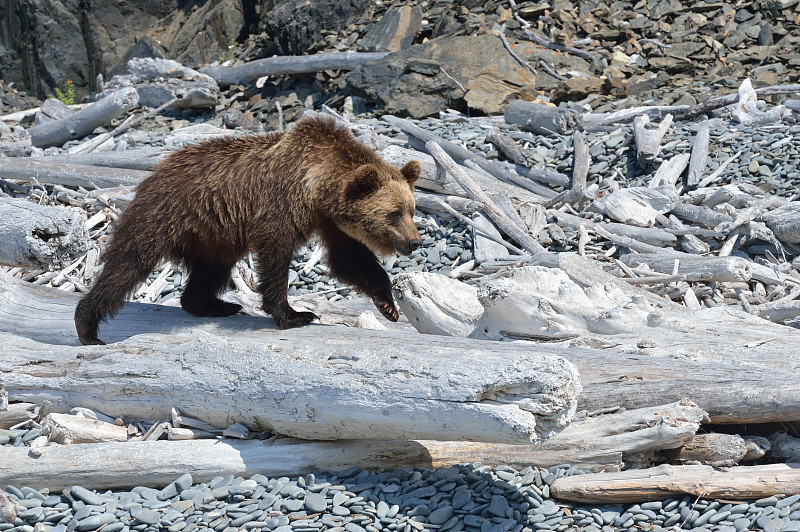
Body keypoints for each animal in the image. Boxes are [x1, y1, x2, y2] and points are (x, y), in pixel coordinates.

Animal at [74, 113, 422, 344]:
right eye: (394, 213)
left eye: (411, 210)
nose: (415, 242)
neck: (316, 186)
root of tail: (155, 171)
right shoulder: (281, 203)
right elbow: (276, 253)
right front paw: (295, 314)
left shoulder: (330, 220)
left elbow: (348, 259)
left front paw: (388, 305)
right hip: (164, 215)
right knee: (128, 263)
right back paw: (87, 326)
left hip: (213, 235)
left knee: (211, 269)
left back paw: (216, 305)